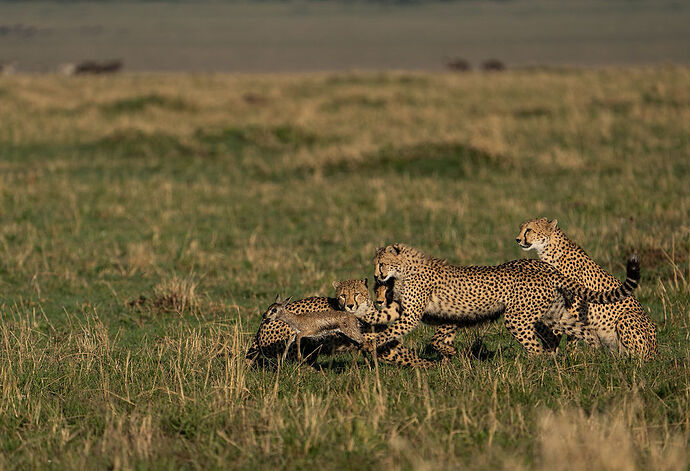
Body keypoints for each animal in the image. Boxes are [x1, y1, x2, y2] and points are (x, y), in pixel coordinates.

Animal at [362, 245, 636, 356]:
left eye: (381, 263)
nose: (376, 275)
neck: (404, 270)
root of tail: (547, 269)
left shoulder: (411, 316)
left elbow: (390, 331)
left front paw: (370, 343)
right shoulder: (406, 310)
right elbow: (385, 318)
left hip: (517, 318)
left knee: (536, 348)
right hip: (554, 314)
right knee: (584, 331)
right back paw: (592, 359)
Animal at [516, 219, 656, 360]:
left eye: (529, 230)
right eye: (521, 228)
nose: (517, 240)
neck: (549, 250)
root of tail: (654, 352)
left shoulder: (577, 305)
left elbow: (570, 333)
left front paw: (568, 356)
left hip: (626, 317)